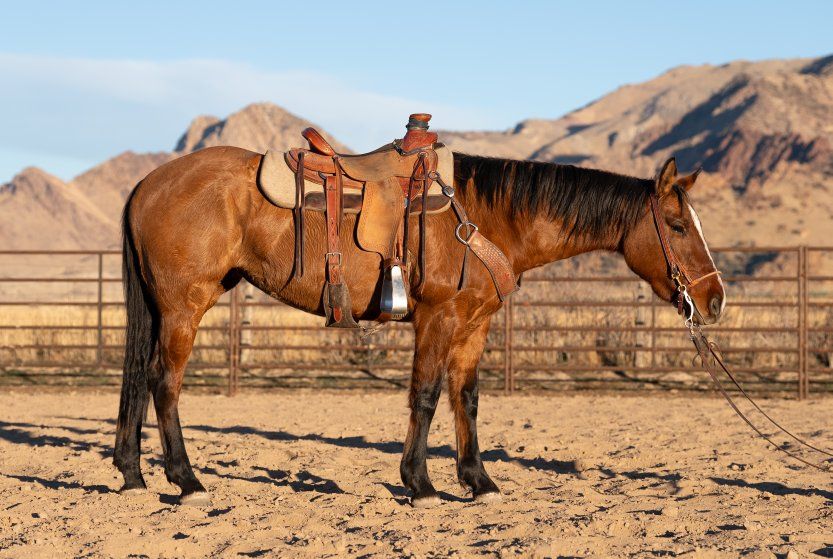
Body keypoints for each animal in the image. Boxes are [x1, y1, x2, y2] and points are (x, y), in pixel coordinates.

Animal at [113, 147, 725, 506]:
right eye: (676, 225)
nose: (715, 300)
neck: (484, 216)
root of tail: (147, 183)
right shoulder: (438, 318)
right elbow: (426, 396)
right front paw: (421, 483)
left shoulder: (475, 325)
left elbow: (466, 398)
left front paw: (479, 481)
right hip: (184, 306)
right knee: (164, 382)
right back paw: (186, 481)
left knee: (140, 378)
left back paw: (132, 473)